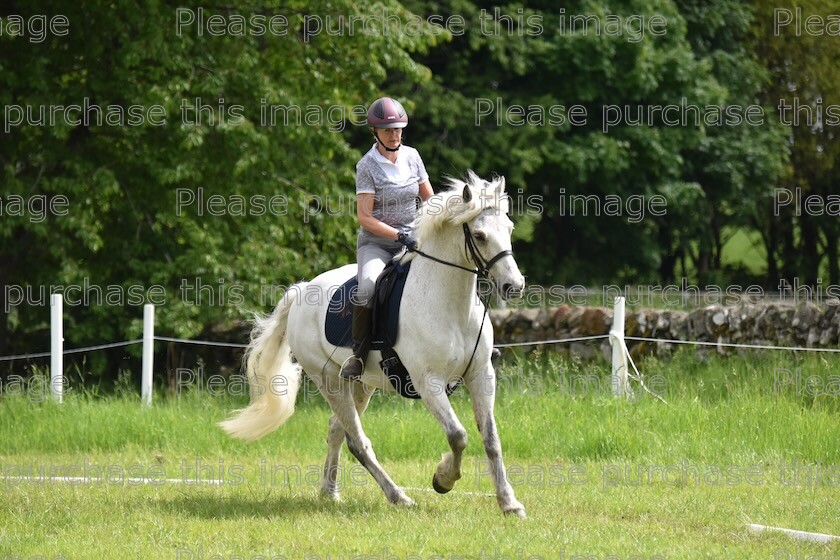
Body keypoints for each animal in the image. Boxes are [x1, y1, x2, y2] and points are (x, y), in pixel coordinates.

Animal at [220, 171, 528, 516]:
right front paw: (443, 479)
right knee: (357, 441)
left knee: (336, 430)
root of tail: (300, 292)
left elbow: (491, 439)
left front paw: (509, 503)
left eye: (509, 229)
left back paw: (330, 492)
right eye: (479, 235)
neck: (450, 305)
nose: (514, 286)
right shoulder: (428, 382)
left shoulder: (481, 374)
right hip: (329, 380)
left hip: (360, 384)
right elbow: (458, 435)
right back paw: (398, 496)